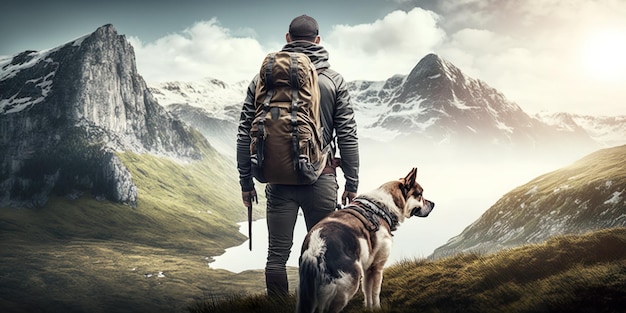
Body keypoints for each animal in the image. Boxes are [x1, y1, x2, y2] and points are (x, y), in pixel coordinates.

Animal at [296, 168, 434, 312]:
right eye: (420, 195)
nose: (433, 204)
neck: (383, 207)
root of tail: (317, 247)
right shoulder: (377, 267)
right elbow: (375, 293)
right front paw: (378, 308)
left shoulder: (368, 268)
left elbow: (367, 293)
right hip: (347, 286)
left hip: (307, 297)